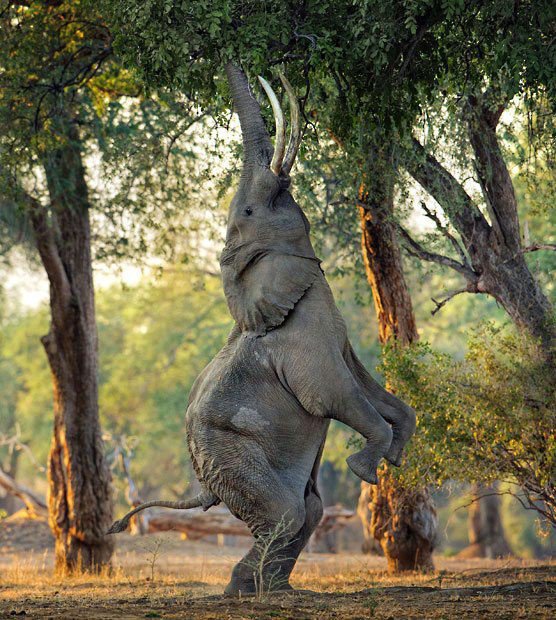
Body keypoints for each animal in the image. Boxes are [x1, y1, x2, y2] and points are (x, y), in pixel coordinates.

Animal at [107, 63, 416, 596]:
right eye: (251, 212)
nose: (239, 59)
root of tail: (203, 483)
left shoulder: (335, 336)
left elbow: (371, 388)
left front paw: (395, 456)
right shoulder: (300, 341)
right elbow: (332, 394)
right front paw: (366, 470)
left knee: (307, 510)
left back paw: (274, 590)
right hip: (229, 452)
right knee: (288, 511)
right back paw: (244, 591)